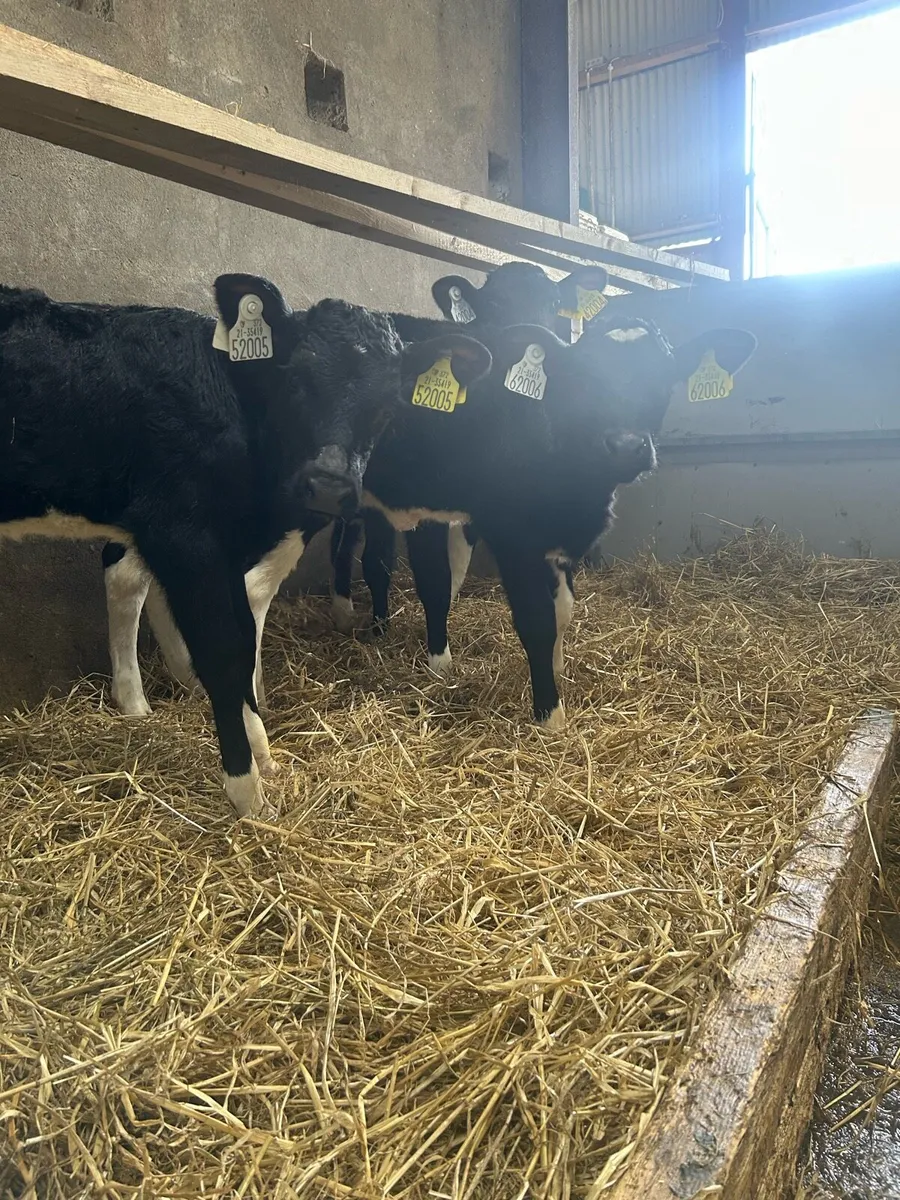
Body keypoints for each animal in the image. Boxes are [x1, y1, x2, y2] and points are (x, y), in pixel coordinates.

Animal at [0, 275, 490, 816]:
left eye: (388, 404)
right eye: (295, 378)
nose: (329, 485)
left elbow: (240, 634)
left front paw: (262, 752)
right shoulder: (184, 535)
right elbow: (225, 652)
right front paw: (247, 792)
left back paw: (137, 702)